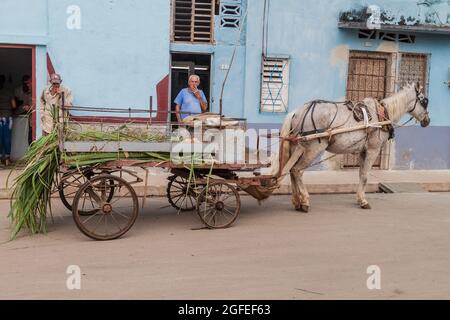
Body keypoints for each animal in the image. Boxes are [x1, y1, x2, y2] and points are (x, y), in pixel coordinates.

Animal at [276, 83, 430, 212]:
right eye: (424, 101)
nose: (427, 121)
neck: (382, 114)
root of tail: (297, 112)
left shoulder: (363, 151)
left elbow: (361, 174)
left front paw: (359, 198)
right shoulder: (373, 150)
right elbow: (365, 176)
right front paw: (363, 201)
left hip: (297, 147)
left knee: (291, 171)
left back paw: (296, 201)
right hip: (313, 148)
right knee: (297, 170)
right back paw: (304, 201)